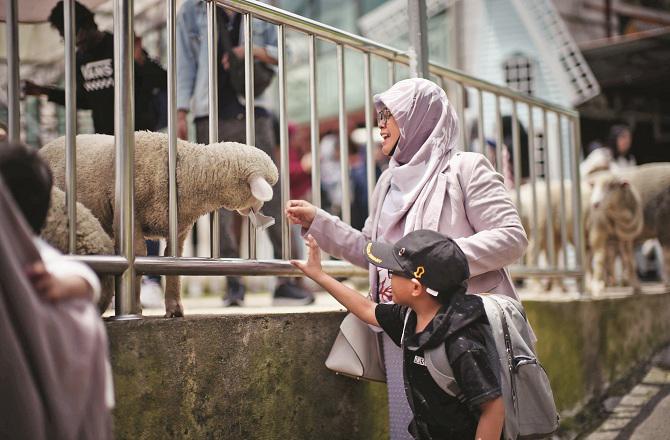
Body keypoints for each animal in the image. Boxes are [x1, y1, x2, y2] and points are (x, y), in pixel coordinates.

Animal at [39, 131, 278, 316]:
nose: (259, 211)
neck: (187, 172)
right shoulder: (132, 217)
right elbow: (139, 254)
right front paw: (135, 306)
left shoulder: (179, 228)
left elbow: (172, 259)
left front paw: (174, 309)